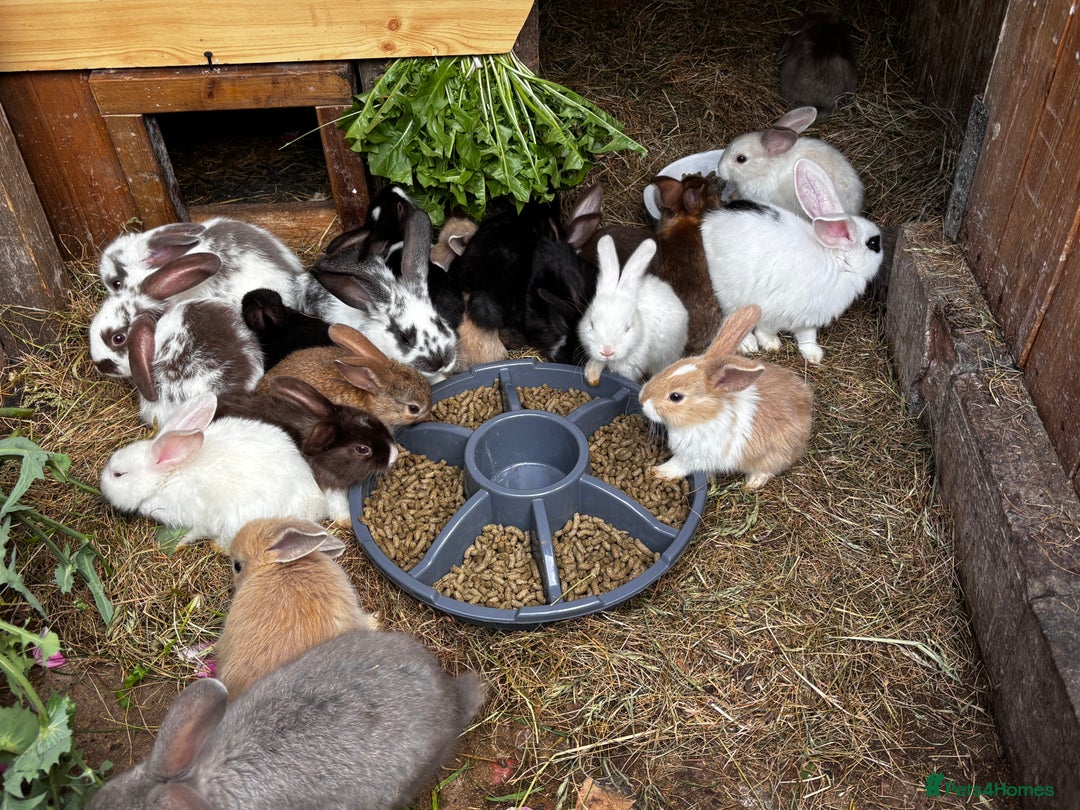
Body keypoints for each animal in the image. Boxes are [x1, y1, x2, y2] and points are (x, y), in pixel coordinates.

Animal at [99, 392, 332, 552]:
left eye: (118, 474)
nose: (101, 484)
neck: (167, 477)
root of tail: (316, 506)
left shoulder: (196, 519)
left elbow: (193, 532)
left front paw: (180, 543)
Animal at [577, 235, 688, 386]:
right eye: (591, 324)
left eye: (628, 328)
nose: (607, 351)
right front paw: (591, 373)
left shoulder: (630, 366)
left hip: (667, 354)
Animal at [639, 304, 813, 489]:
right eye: (670, 368)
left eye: (676, 397)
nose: (641, 400)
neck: (702, 416)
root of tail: (807, 403)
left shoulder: (693, 457)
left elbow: (676, 466)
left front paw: (656, 471)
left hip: (773, 456)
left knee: (769, 469)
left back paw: (752, 483)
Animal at [700, 156, 884, 364]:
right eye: (873, 243)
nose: (883, 248)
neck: (836, 262)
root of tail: (709, 221)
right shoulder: (772, 311)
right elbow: (766, 329)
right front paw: (771, 344)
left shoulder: (807, 319)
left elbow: (807, 337)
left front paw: (814, 356)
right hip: (728, 293)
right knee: (728, 317)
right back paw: (747, 344)